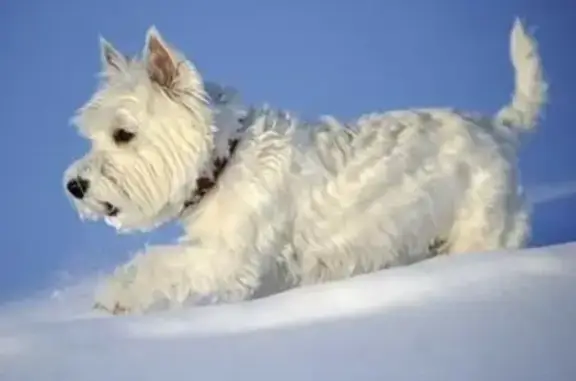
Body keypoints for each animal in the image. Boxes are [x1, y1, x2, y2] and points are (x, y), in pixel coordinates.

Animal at [65, 18, 548, 314]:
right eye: (92, 136)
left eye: (123, 134)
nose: (74, 185)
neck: (225, 160)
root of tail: (500, 127)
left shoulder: (229, 258)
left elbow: (160, 262)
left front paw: (114, 295)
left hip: (481, 227)